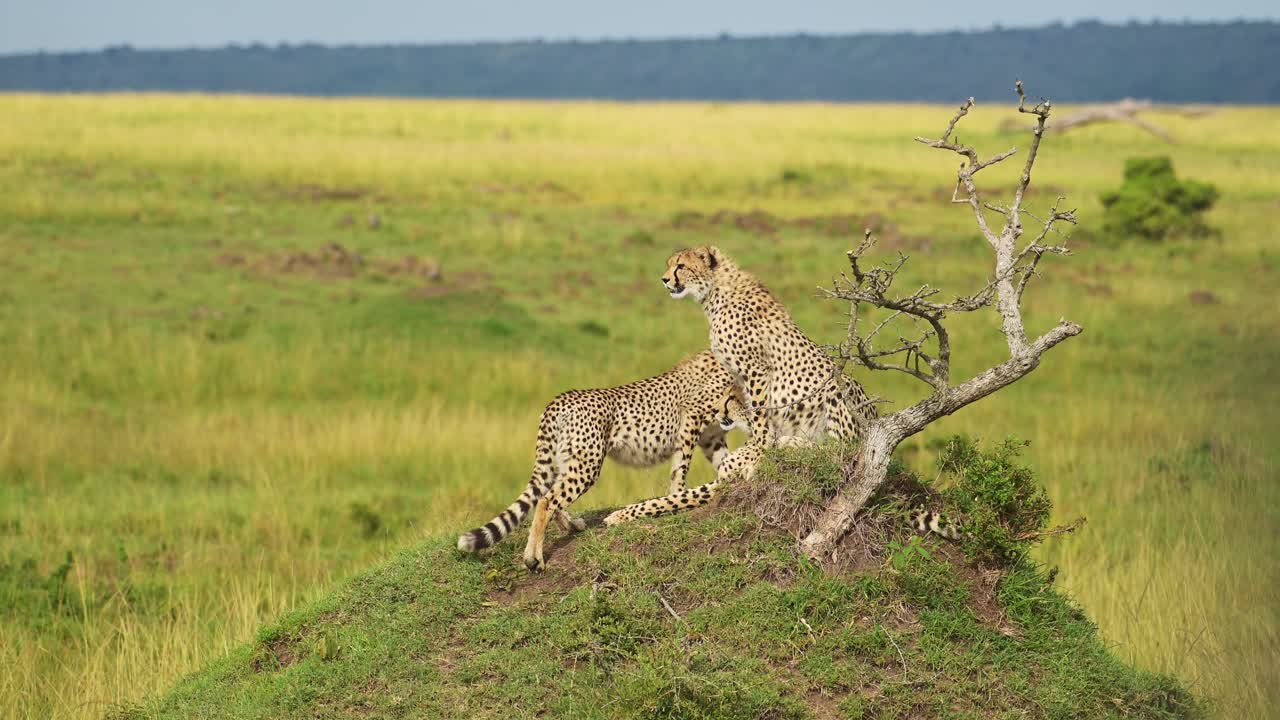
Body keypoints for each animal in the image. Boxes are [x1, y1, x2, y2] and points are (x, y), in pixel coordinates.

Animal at [456, 350, 739, 571]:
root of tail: (562, 397)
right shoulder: (690, 419)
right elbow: (680, 468)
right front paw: (675, 497)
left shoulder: (712, 438)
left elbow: (725, 462)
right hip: (587, 464)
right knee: (547, 500)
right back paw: (533, 558)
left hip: (567, 459)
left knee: (550, 494)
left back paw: (572, 526)